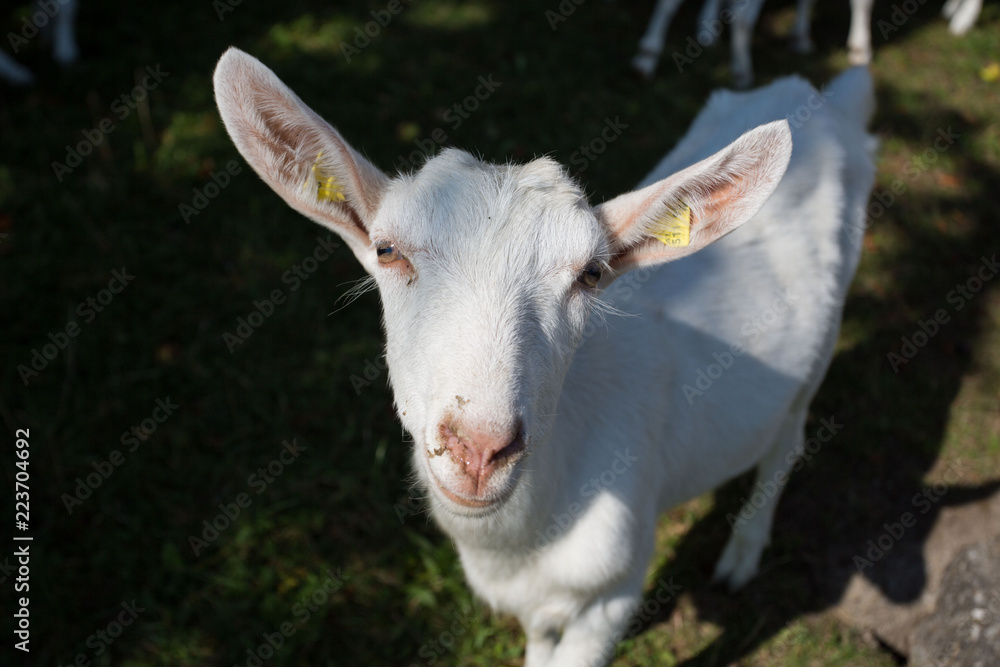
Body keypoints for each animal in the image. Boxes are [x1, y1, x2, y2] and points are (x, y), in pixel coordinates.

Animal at [213, 48, 876, 665]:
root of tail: (825, 99)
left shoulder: (617, 584)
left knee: (787, 439)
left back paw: (741, 555)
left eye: (591, 274)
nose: (480, 448)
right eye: (386, 250)